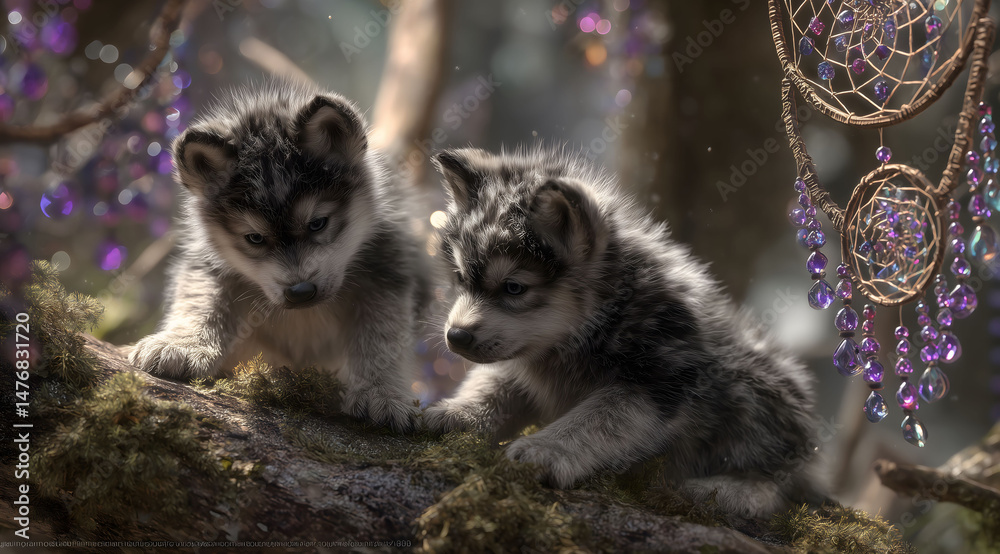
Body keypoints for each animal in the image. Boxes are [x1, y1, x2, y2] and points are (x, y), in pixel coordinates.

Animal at [129, 83, 428, 432]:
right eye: (255, 238)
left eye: (318, 223)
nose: (301, 292)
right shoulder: (209, 265)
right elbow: (200, 303)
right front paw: (182, 344)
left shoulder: (387, 269)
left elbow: (381, 338)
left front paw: (380, 391)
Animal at [423, 146, 825, 517]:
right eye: (460, 277)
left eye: (513, 288)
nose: (455, 337)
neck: (605, 316)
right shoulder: (520, 361)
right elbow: (494, 388)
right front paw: (456, 414)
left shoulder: (658, 382)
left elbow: (596, 420)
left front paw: (547, 449)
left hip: (749, 385)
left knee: (778, 482)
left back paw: (728, 491)